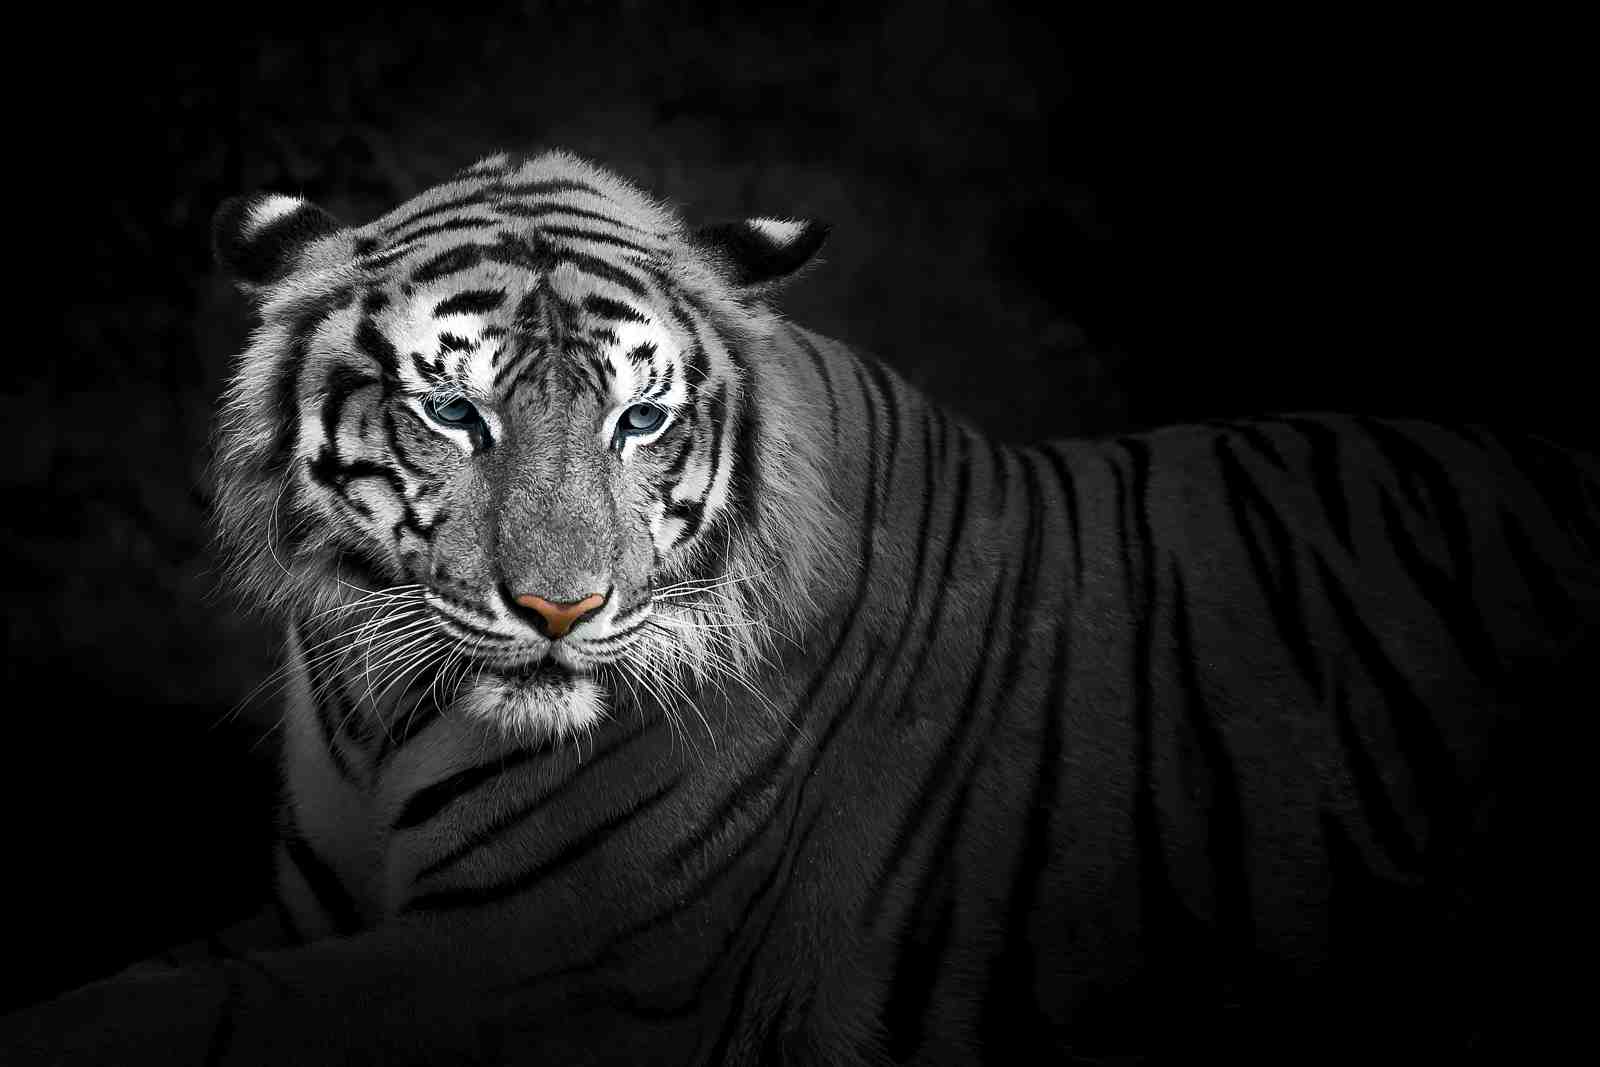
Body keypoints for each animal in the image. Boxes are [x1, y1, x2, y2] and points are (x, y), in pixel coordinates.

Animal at [7, 149, 1598, 1065]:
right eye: (453, 411)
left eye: (642, 420)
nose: (562, 610)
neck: (379, 701)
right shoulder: (308, 910)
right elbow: (170, 979)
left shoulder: (551, 962)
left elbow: (189, 1022)